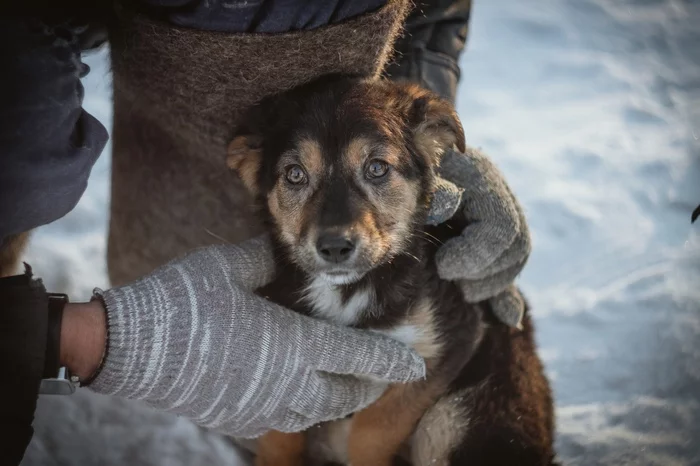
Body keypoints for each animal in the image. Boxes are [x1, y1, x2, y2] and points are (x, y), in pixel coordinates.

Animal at [227, 76, 556, 466]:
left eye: (377, 168)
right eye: (294, 175)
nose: (335, 247)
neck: (349, 293)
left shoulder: (449, 343)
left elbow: (373, 430)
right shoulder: (292, 361)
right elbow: (280, 430)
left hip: (455, 418)